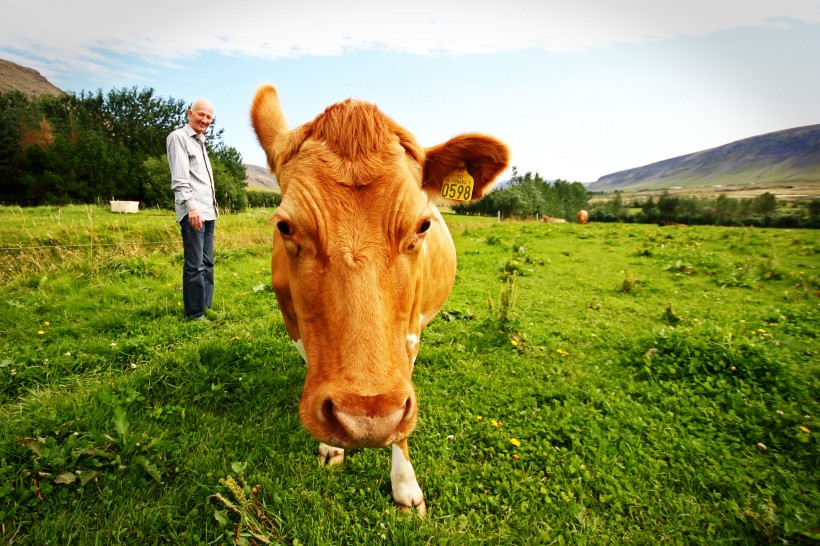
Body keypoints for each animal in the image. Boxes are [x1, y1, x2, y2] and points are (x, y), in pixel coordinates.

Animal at [251, 85, 506, 516]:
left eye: (422, 225)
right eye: (285, 226)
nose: (366, 420)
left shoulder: (410, 335)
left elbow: (401, 417)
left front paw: (405, 486)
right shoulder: (294, 323)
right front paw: (331, 446)